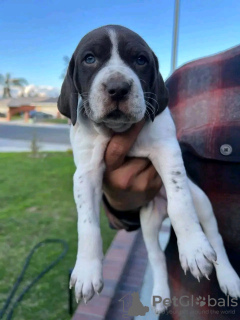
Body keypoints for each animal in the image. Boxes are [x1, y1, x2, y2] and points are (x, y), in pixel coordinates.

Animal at [57, 25, 240, 316]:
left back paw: (229, 278)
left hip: (201, 200)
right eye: (89, 59)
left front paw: (193, 248)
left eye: (140, 60)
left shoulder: (167, 150)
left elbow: (181, 204)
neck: (117, 130)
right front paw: (86, 270)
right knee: (156, 257)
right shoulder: (85, 172)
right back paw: (161, 295)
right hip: (149, 223)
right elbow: (87, 224)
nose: (118, 88)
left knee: (214, 236)